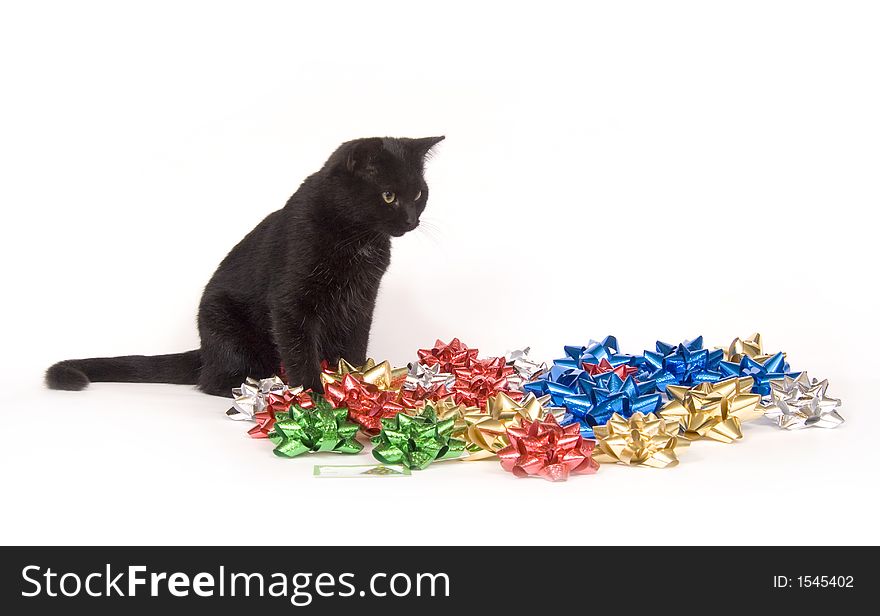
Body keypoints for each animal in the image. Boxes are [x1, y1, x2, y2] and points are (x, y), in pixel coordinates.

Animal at [44, 135, 444, 394]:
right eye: (388, 195)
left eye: (419, 194)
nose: (411, 219)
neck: (358, 239)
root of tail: (204, 350)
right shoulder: (289, 302)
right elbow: (300, 351)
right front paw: (315, 397)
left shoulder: (361, 300)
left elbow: (354, 347)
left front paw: (357, 385)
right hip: (224, 322)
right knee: (213, 382)